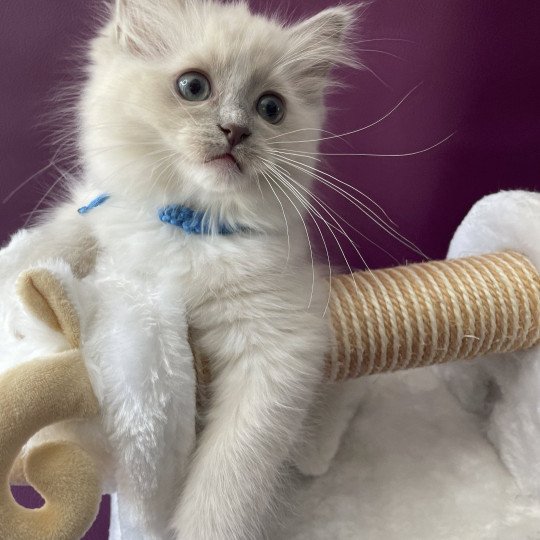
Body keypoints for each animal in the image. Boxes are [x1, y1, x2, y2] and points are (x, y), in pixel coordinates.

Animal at [15, 0, 368, 536]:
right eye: (193, 87)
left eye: (271, 108)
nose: (235, 130)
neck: (185, 224)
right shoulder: (102, 206)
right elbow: (62, 233)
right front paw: (18, 269)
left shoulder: (279, 344)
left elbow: (229, 478)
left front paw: (205, 528)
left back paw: (315, 455)